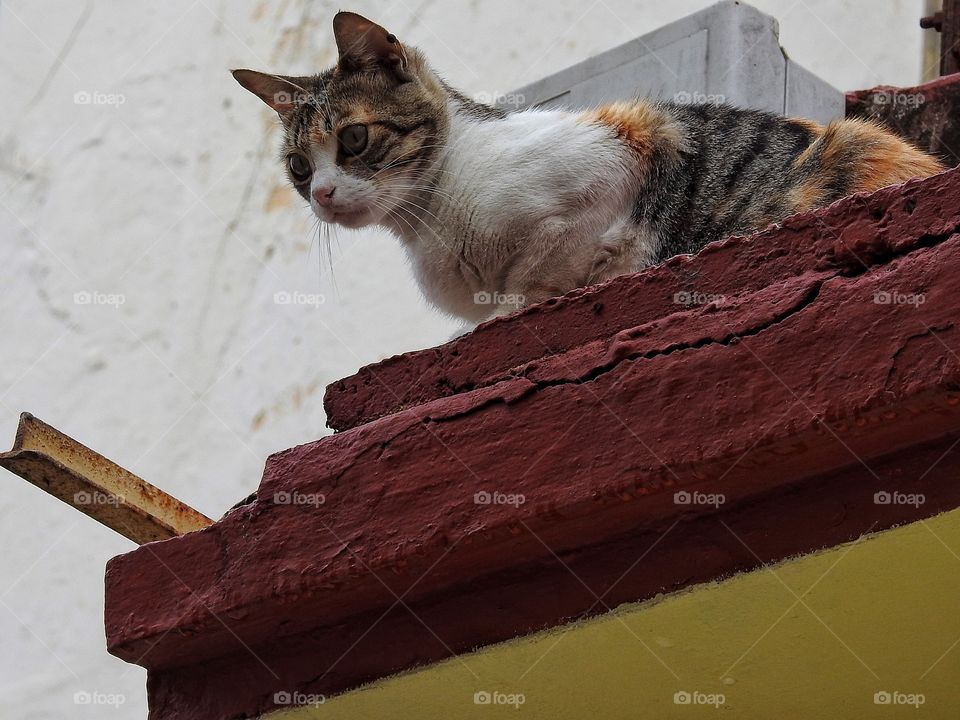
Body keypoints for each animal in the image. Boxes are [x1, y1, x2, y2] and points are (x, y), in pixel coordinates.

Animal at [234, 9, 944, 320]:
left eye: (353, 140)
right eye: (299, 168)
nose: (323, 194)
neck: (431, 218)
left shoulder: (621, 153)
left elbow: (542, 268)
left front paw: (521, 300)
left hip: (857, 143)